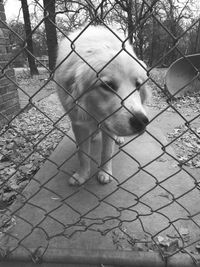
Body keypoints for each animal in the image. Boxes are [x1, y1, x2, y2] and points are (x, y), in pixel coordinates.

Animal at [54, 26, 148, 187]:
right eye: (107, 86)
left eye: (138, 85)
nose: (142, 121)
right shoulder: (78, 123)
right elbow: (83, 154)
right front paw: (82, 175)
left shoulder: (107, 125)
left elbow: (106, 152)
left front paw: (105, 173)